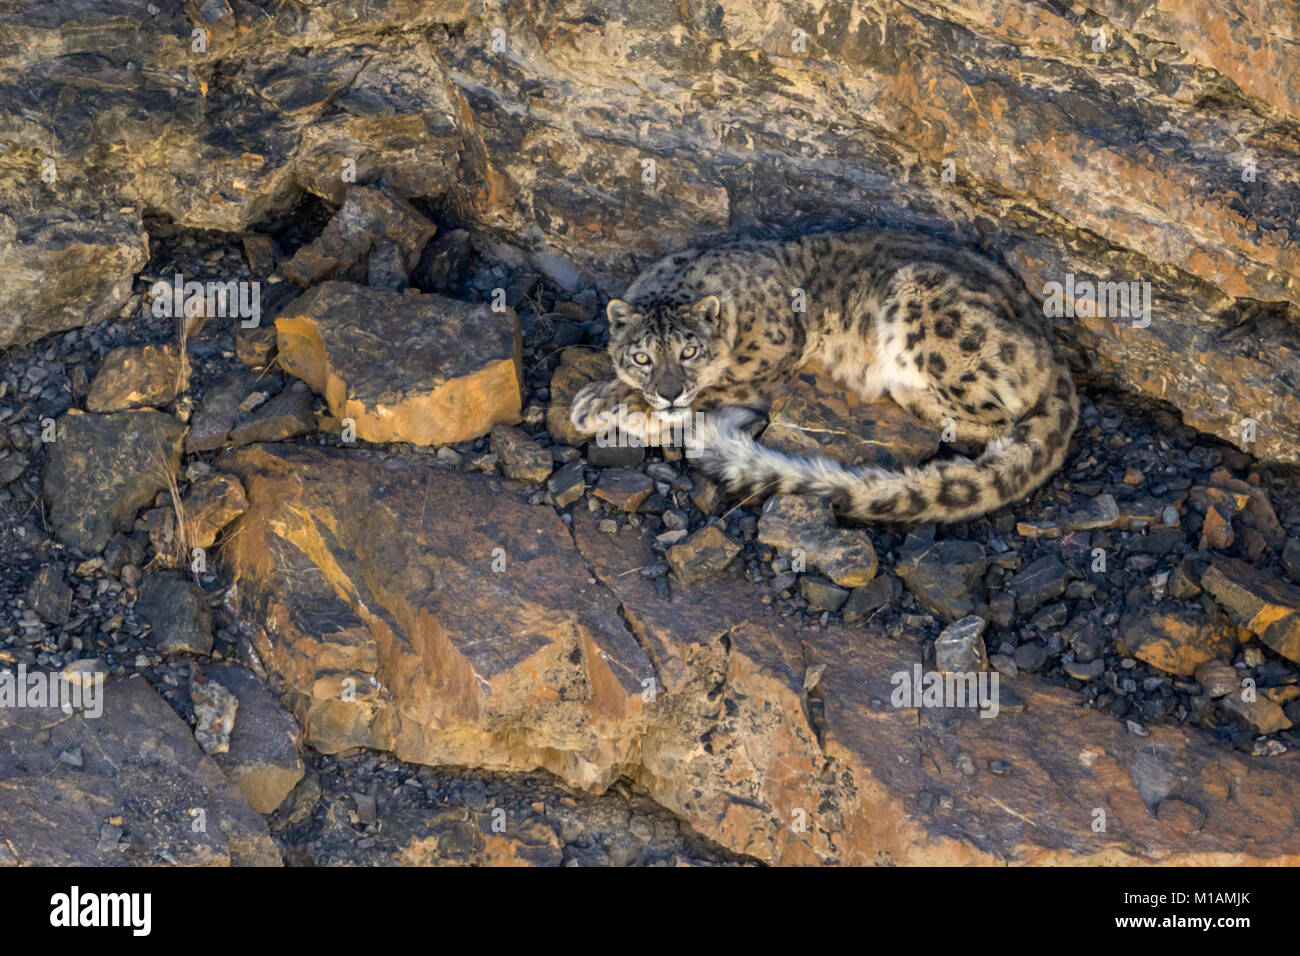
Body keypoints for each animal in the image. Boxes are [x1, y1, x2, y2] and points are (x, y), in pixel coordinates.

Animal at [567, 228, 1078, 524]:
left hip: (930, 304)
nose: (670, 392)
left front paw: (620, 410)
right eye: (642, 357)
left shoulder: (767, 357)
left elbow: (715, 386)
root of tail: (1055, 353)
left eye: (689, 350)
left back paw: (907, 392)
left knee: (997, 419)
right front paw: (600, 400)